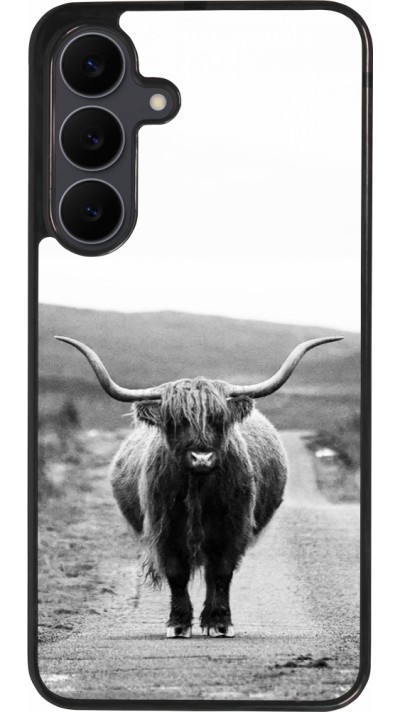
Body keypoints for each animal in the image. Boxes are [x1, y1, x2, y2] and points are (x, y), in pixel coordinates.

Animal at [56, 334, 341, 638]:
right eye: (175, 421)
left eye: (218, 419)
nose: (201, 457)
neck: (198, 488)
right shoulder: (164, 528)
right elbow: (176, 573)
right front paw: (178, 623)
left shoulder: (233, 527)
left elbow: (221, 573)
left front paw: (219, 622)